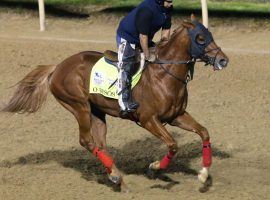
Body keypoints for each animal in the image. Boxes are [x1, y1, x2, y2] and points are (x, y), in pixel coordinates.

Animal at [1, 14, 228, 190]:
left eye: (210, 35)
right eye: (200, 38)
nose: (223, 60)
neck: (165, 76)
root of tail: (58, 67)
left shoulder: (176, 116)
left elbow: (204, 132)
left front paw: (203, 175)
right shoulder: (148, 119)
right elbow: (173, 144)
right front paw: (154, 167)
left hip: (97, 111)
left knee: (100, 143)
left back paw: (117, 177)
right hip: (79, 106)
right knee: (86, 140)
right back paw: (117, 176)